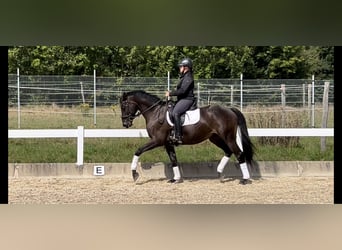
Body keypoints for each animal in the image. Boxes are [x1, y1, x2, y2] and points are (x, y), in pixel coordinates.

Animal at [119, 90, 255, 184]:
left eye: (124, 106)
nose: (125, 124)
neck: (155, 112)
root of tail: (230, 110)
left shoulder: (157, 140)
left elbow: (138, 151)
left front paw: (134, 174)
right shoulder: (167, 143)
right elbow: (173, 160)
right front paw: (175, 179)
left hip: (228, 137)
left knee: (239, 153)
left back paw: (244, 179)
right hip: (215, 138)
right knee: (228, 151)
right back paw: (220, 173)